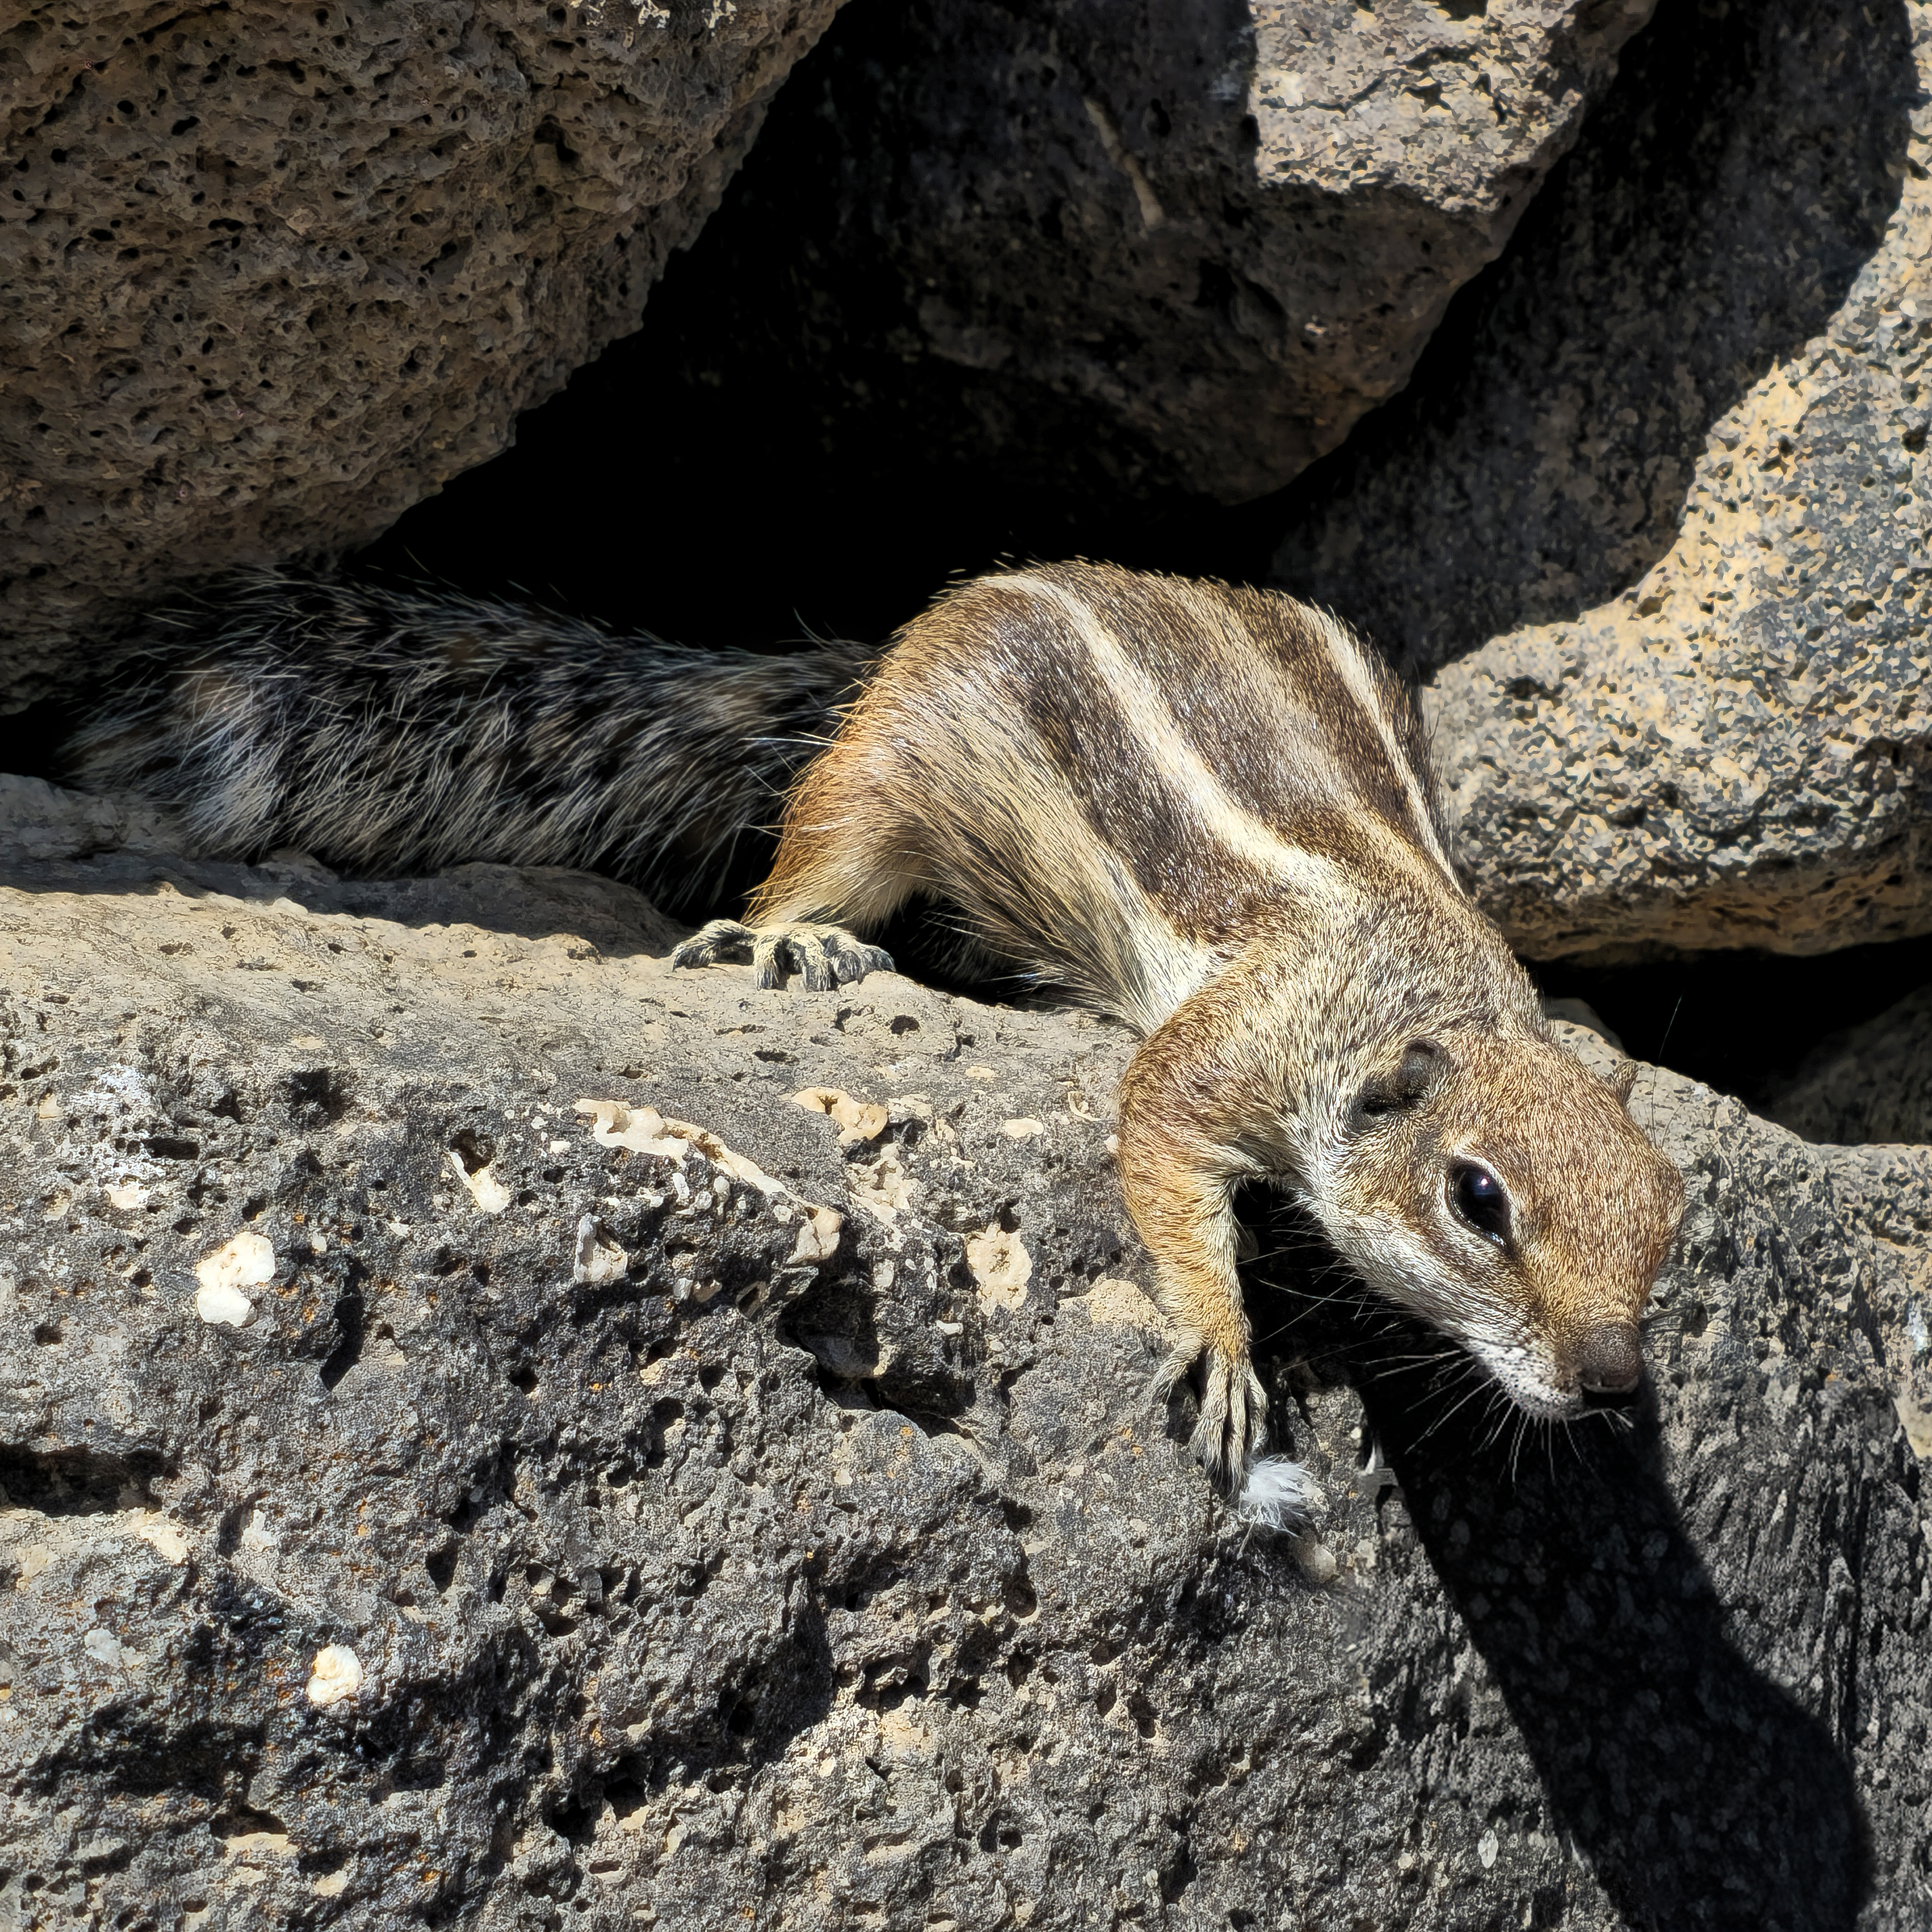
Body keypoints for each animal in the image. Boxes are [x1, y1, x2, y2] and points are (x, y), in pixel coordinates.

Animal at [65, 562, 1684, 1518]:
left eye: (1666, 1219)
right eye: (1478, 1199)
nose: (1613, 1381)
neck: (1418, 981)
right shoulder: (1233, 1049)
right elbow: (1158, 1133)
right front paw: (1227, 1341)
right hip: (889, 767)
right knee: (811, 858)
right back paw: (794, 940)